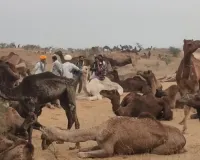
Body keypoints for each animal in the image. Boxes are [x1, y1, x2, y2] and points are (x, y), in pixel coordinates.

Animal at [40, 113, 186, 158]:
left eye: (44, 135)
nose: (42, 146)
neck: (98, 130)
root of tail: (183, 138)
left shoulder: (108, 148)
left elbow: (85, 154)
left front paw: (81, 153)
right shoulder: (101, 142)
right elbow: (88, 148)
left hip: (164, 146)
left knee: (156, 151)